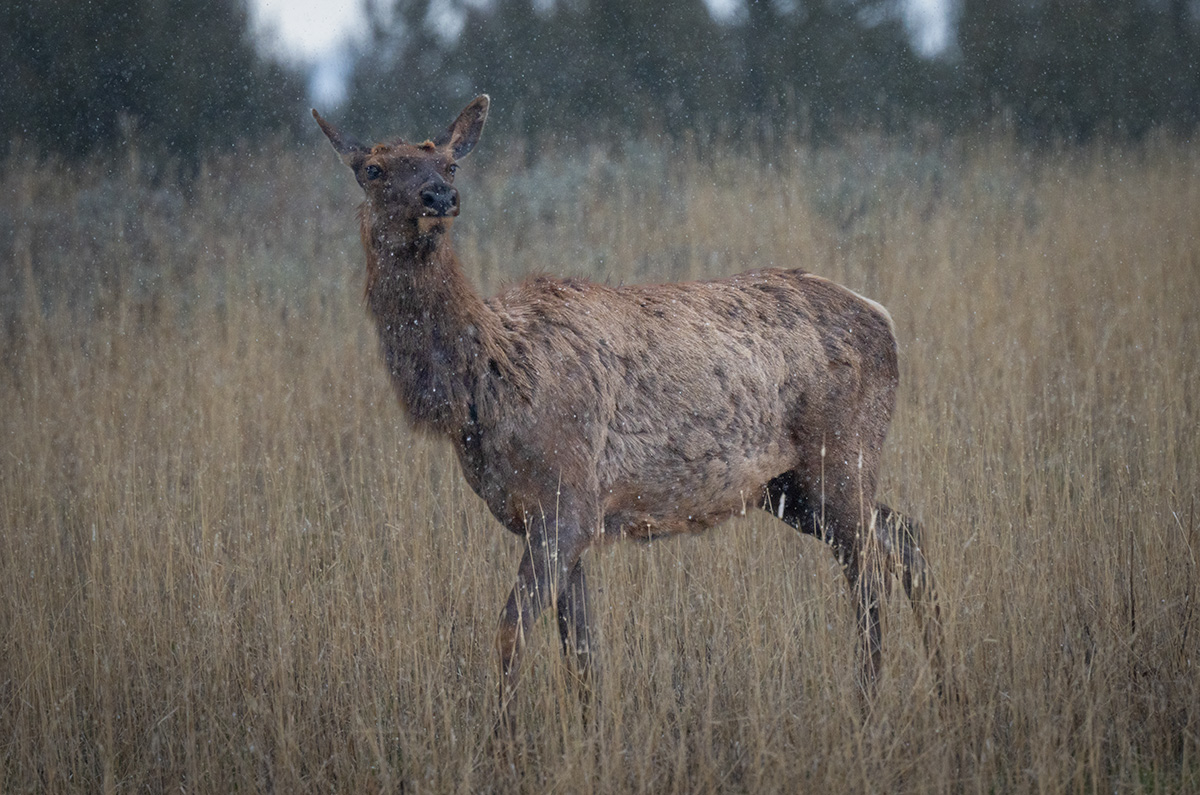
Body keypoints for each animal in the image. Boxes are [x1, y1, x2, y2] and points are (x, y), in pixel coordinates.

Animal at [316, 96, 945, 730]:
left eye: (449, 164)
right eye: (371, 169)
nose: (439, 198)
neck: (483, 387)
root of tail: (884, 319)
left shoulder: (565, 502)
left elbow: (512, 631)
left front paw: (505, 738)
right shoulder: (559, 518)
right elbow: (580, 650)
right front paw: (588, 733)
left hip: (840, 455)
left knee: (867, 575)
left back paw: (869, 704)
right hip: (790, 489)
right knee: (906, 535)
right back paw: (947, 686)